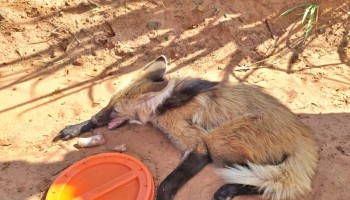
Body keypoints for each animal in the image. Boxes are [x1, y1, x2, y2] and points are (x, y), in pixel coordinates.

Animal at [53, 55, 318, 200]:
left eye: (116, 111)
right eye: (108, 104)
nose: (100, 119)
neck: (165, 106)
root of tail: (305, 138)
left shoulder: (199, 147)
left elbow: (166, 184)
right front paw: (76, 128)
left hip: (218, 139)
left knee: (277, 182)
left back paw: (228, 189)